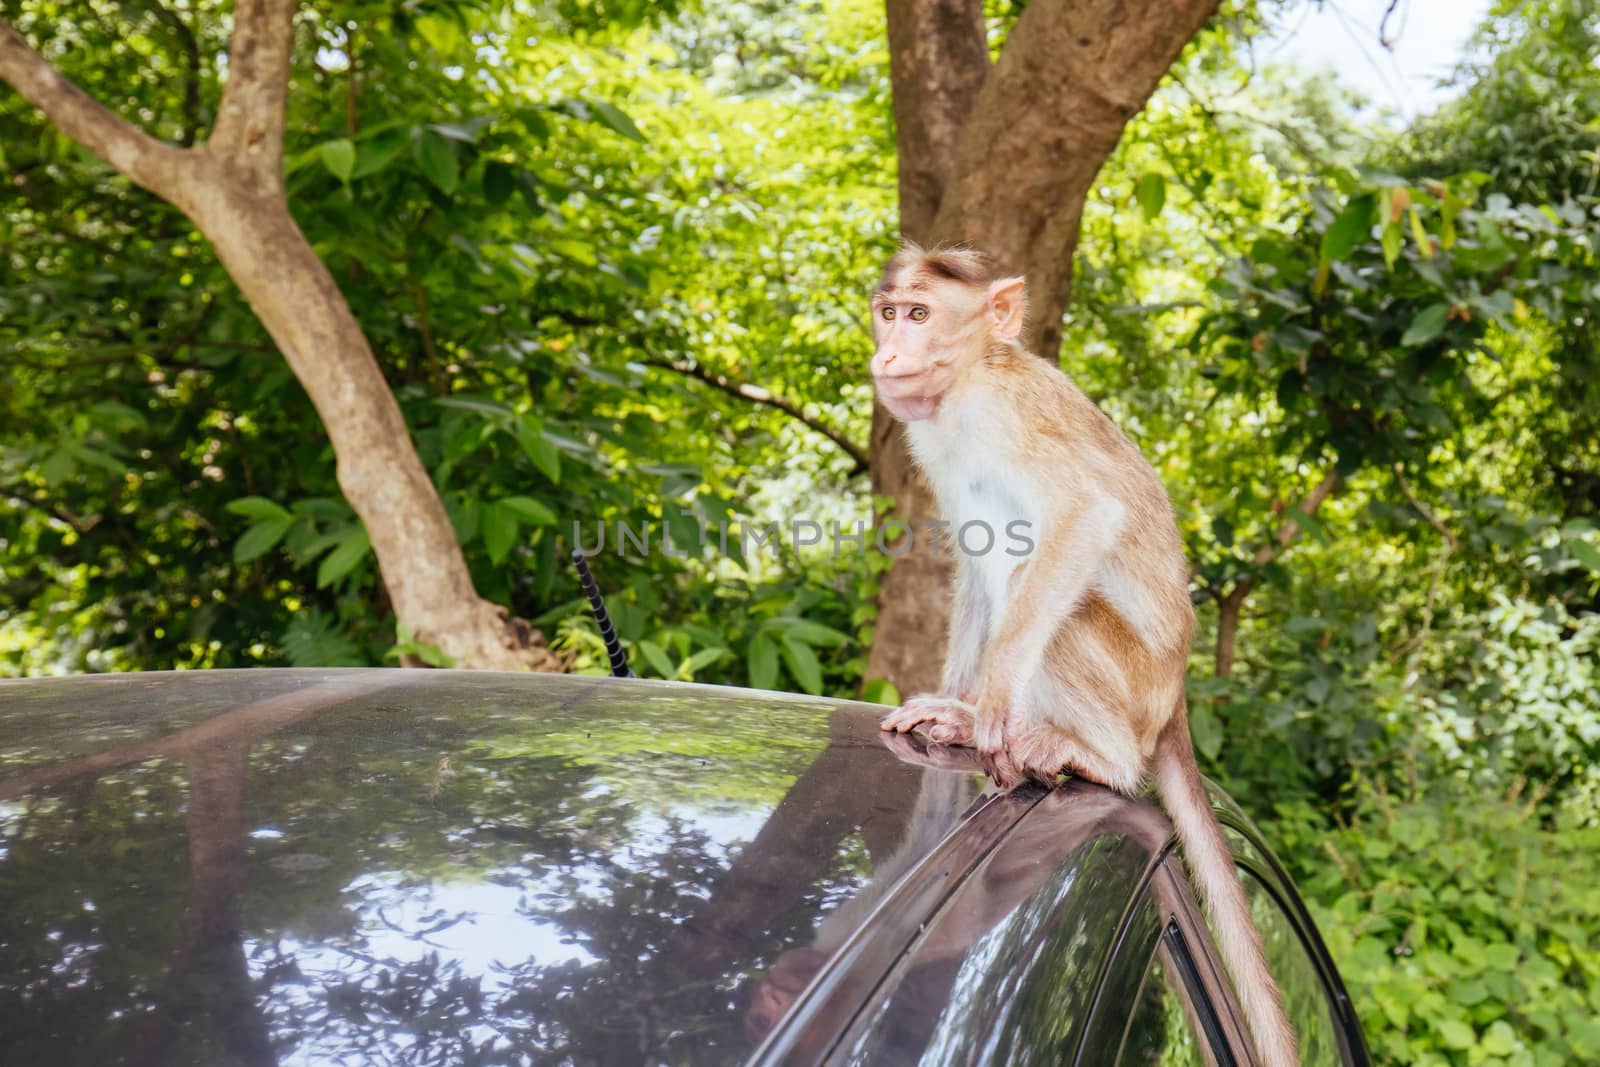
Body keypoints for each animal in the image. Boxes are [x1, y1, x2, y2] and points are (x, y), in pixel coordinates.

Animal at [876, 241, 1299, 1067]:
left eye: (920, 313)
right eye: (889, 311)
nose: (889, 350)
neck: (968, 378)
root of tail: (1176, 698)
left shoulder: (1004, 413)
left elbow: (1084, 513)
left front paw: (990, 709)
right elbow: (972, 558)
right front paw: (959, 706)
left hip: (1133, 681)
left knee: (1042, 586)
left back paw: (1099, 755)